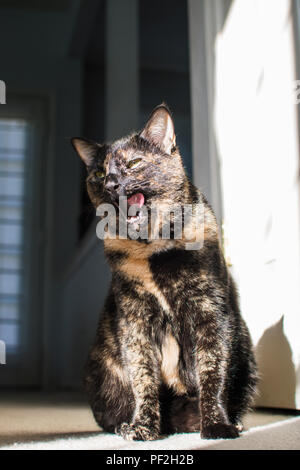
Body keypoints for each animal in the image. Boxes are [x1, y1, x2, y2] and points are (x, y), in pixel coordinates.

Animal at [71, 104, 256, 438]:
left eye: (134, 162)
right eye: (99, 173)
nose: (110, 185)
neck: (153, 249)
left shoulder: (210, 313)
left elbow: (213, 371)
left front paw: (216, 425)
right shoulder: (135, 320)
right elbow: (143, 377)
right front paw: (143, 427)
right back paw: (126, 426)